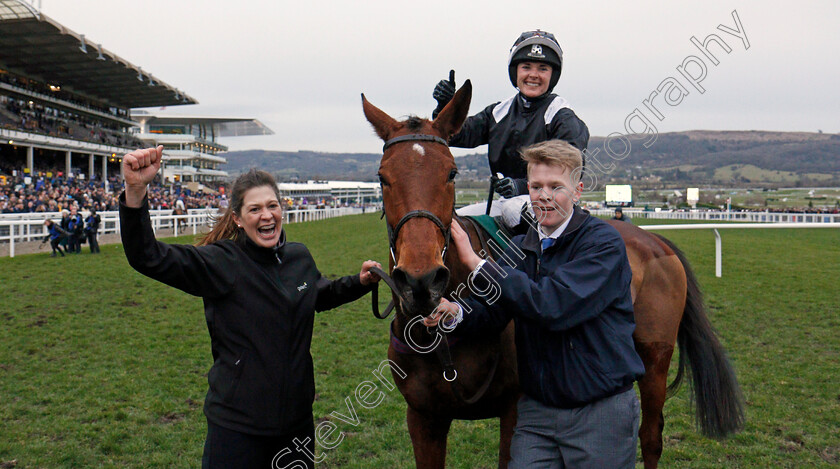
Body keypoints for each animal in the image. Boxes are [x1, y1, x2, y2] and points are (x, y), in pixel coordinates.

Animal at [360, 80, 740, 468]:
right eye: (382, 176)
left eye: (451, 173)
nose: (421, 281)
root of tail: (655, 240)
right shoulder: (424, 417)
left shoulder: (515, 409)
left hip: (655, 359)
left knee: (650, 436)